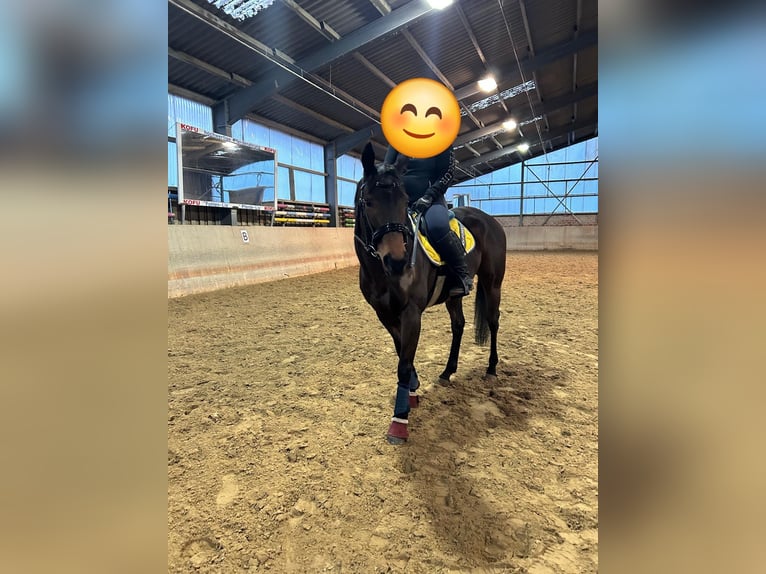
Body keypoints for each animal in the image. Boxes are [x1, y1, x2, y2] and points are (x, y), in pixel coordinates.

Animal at [354, 142, 507, 444]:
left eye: (405, 202)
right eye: (369, 202)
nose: (398, 262)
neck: (381, 273)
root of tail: (490, 220)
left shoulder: (411, 313)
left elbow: (404, 362)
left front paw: (399, 421)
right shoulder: (384, 314)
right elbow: (401, 352)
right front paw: (413, 390)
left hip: (492, 283)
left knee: (493, 321)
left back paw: (492, 369)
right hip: (453, 296)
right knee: (459, 325)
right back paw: (448, 372)